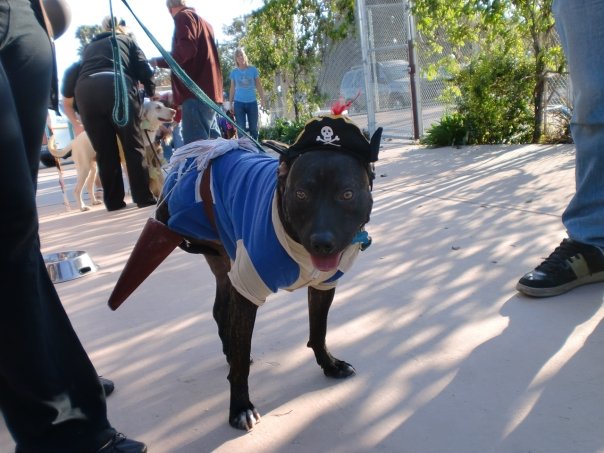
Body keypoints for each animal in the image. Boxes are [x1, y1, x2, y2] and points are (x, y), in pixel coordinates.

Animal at [111, 114, 380, 430]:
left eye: (347, 194)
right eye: (301, 193)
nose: (322, 243)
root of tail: (209, 148)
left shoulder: (323, 287)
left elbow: (318, 330)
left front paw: (329, 364)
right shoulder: (247, 291)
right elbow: (241, 362)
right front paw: (240, 406)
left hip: (226, 260)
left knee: (220, 309)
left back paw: (228, 349)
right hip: (184, 234)